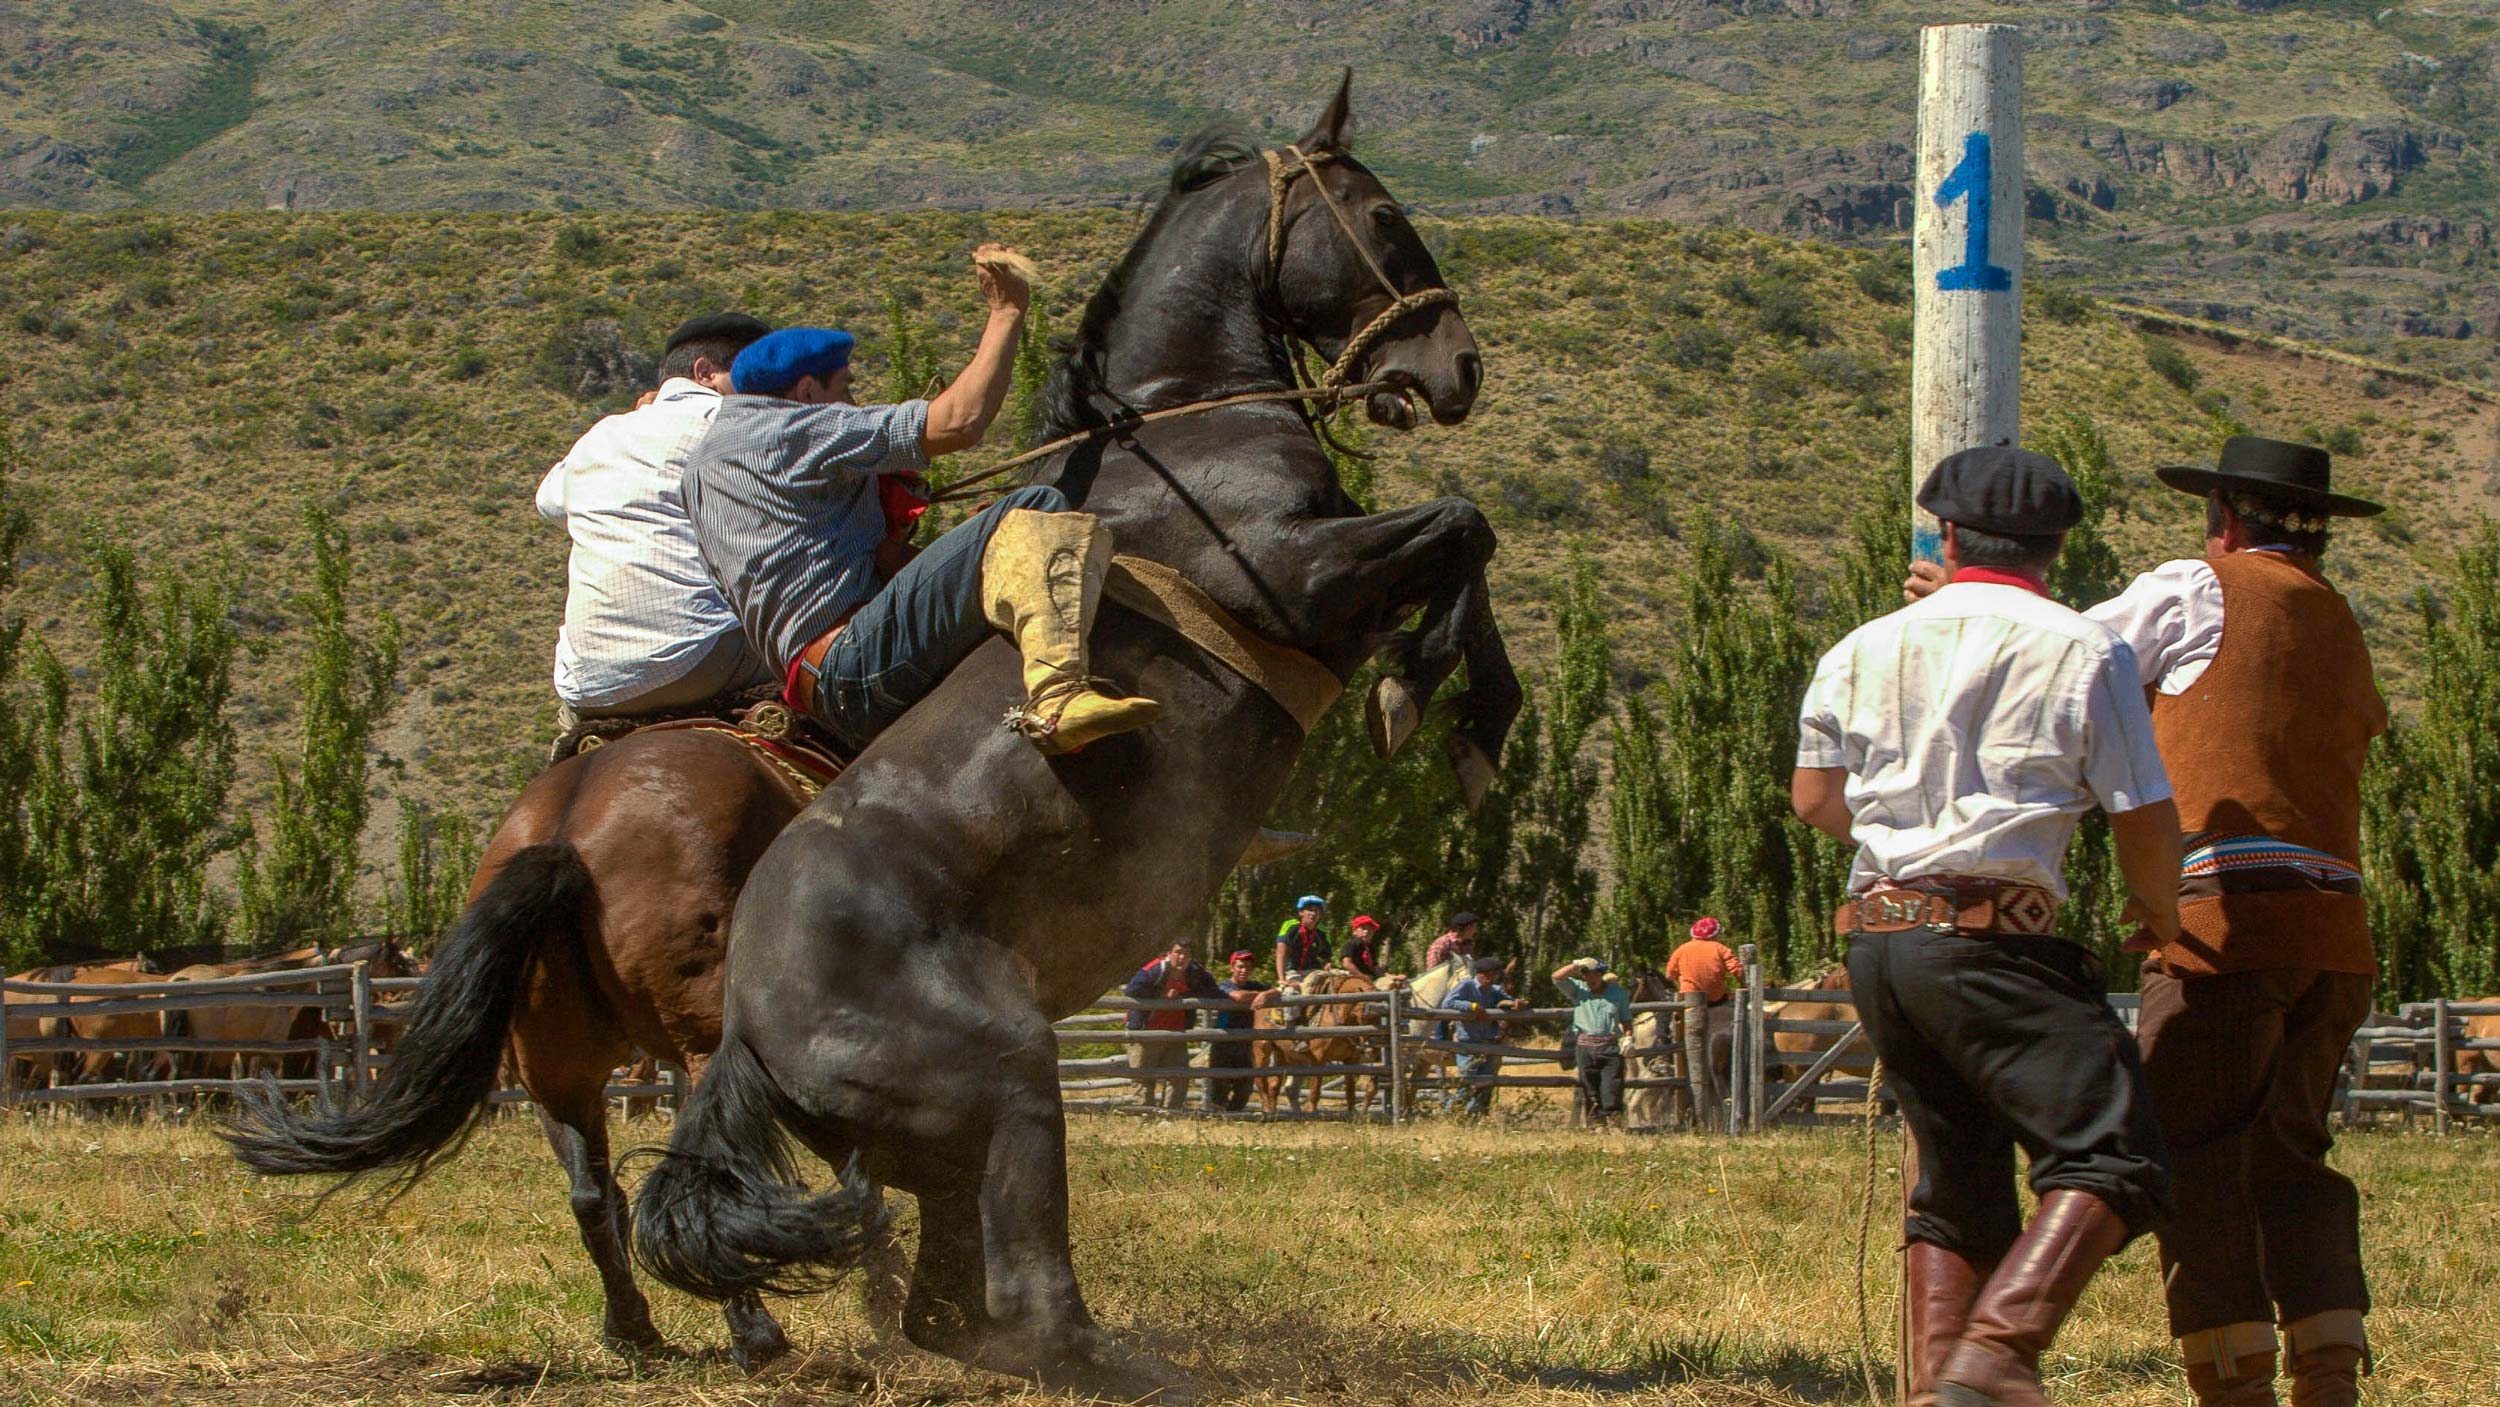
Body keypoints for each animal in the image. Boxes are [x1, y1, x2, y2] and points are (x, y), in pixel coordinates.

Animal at [630, 75, 1514, 1389]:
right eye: (1382, 215)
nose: (1455, 366)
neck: (1184, 430)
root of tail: (744, 1032)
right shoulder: (1298, 581)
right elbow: (1461, 526)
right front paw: (1416, 697)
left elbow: (1470, 552)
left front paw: (1472, 727)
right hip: (1007, 1073)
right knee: (1033, 1303)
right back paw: (1135, 1369)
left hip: (938, 1149)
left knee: (949, 1312)